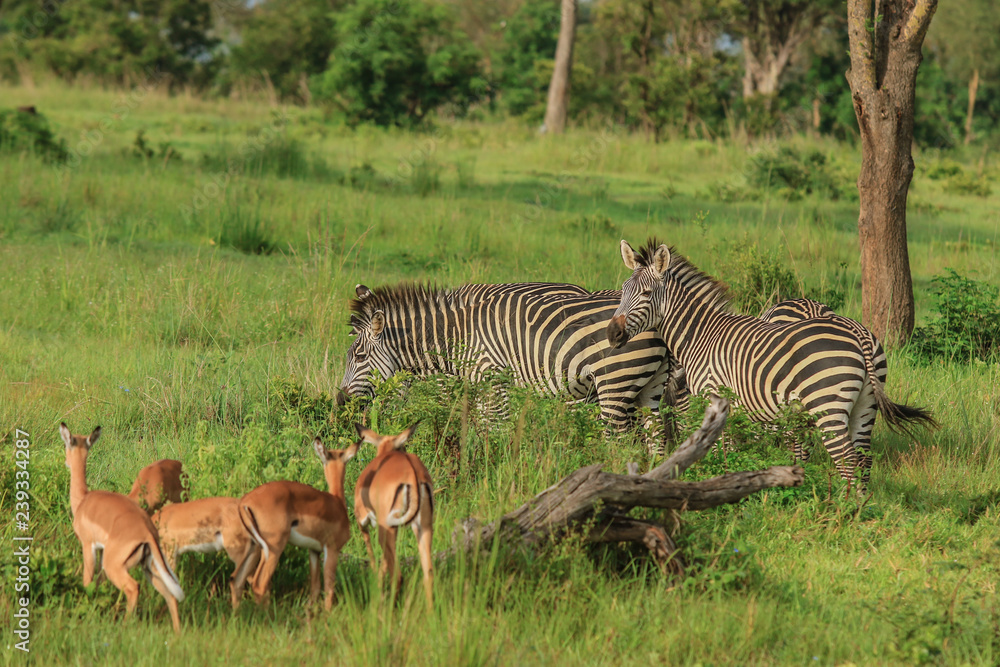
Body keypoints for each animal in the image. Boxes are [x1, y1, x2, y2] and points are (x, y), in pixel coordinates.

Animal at [339, 282, 678, 440]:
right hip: (647, 385)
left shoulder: (492, 381)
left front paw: (492, 470)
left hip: (614, 382)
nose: (340, 402)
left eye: (358, 356)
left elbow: (494, 429)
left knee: (618, 438)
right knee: (655, 436)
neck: (456, 335)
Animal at [606, 238, 935, 489]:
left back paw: (844, 514)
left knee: (846, 460)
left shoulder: (716, 398)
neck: (702, 334)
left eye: (646, 293)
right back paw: (860, 510)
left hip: (828, 404)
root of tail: (860, 334)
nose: (612, 334)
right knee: (863, 460)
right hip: (866, 405)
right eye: (623, 290)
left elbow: (722, 451)